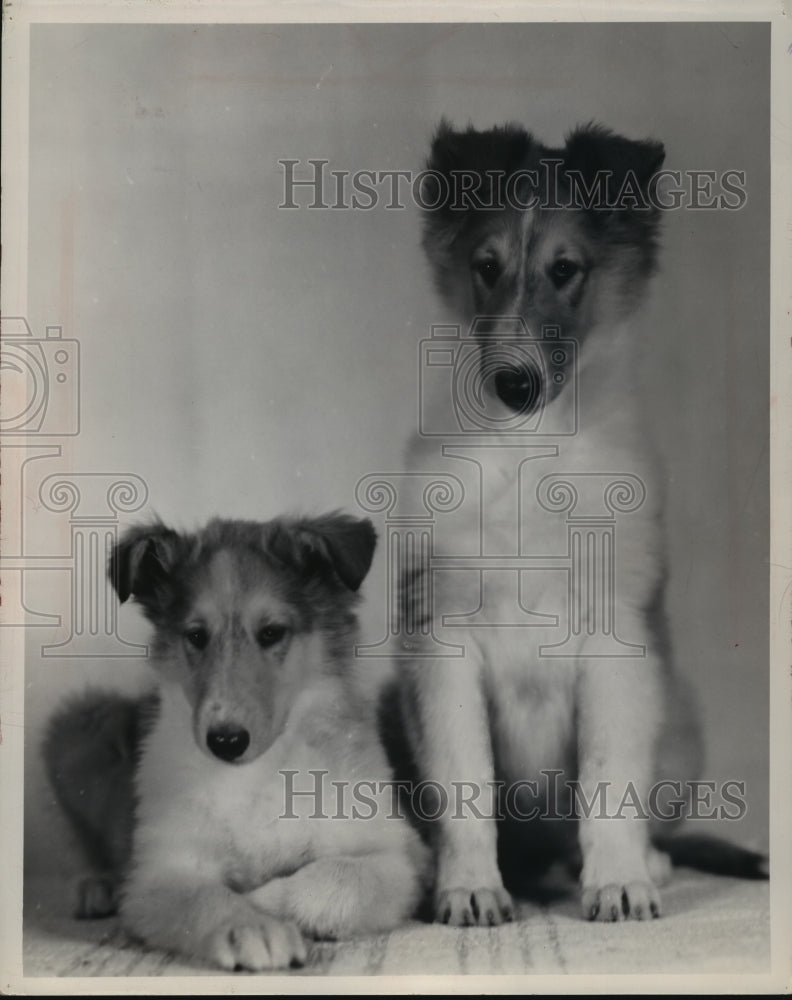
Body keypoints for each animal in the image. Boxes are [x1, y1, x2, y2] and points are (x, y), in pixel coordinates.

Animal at [44, 516, 426, 968]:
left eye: (272, 632)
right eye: (196, 636)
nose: (225, 741)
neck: (255, 775)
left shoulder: (396, 856)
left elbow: (336, 880)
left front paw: (262, 903)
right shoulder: (160, 873)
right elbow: (204, 898)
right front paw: (252, 927)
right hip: (79, 726)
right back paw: (95, 886)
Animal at [392, 121, 772, 924]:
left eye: (566, 269)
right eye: (487, 267)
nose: (514, 383)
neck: (528, 449)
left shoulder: (618, 635)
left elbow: (609, 778)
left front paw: (619, 883)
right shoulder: (439, 636)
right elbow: (464, 784)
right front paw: (470, 890)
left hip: (680, 715)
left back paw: (644, 863)